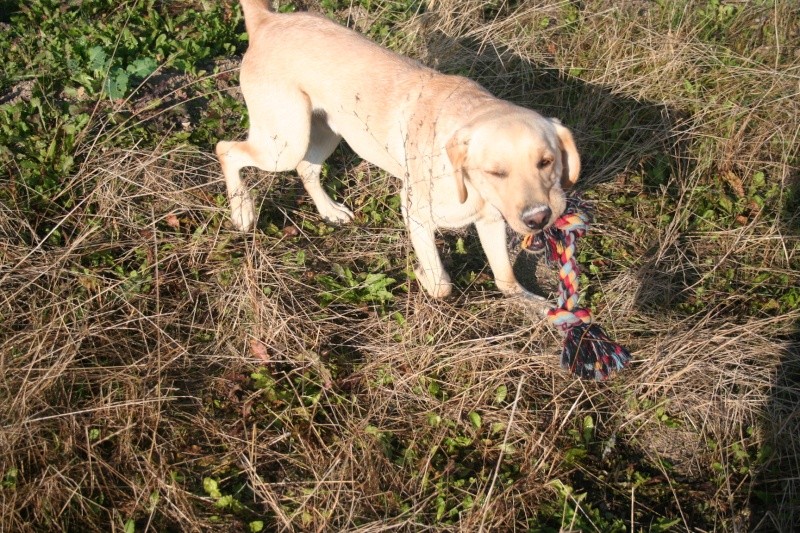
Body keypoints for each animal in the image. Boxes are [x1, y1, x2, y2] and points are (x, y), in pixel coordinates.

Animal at [219, 0, 580, 300]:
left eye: (546, 162)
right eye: (496, 171)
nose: (539, 218)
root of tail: (267, 20)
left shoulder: (491, 221)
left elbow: (506, 279)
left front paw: (541, 309)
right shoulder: (416, 213)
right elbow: (442, 284)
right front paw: (424, 277)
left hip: (324, 135)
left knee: (306, 170)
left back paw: (330, 211)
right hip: (284, 142)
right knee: (227, 150)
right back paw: (242, 211)